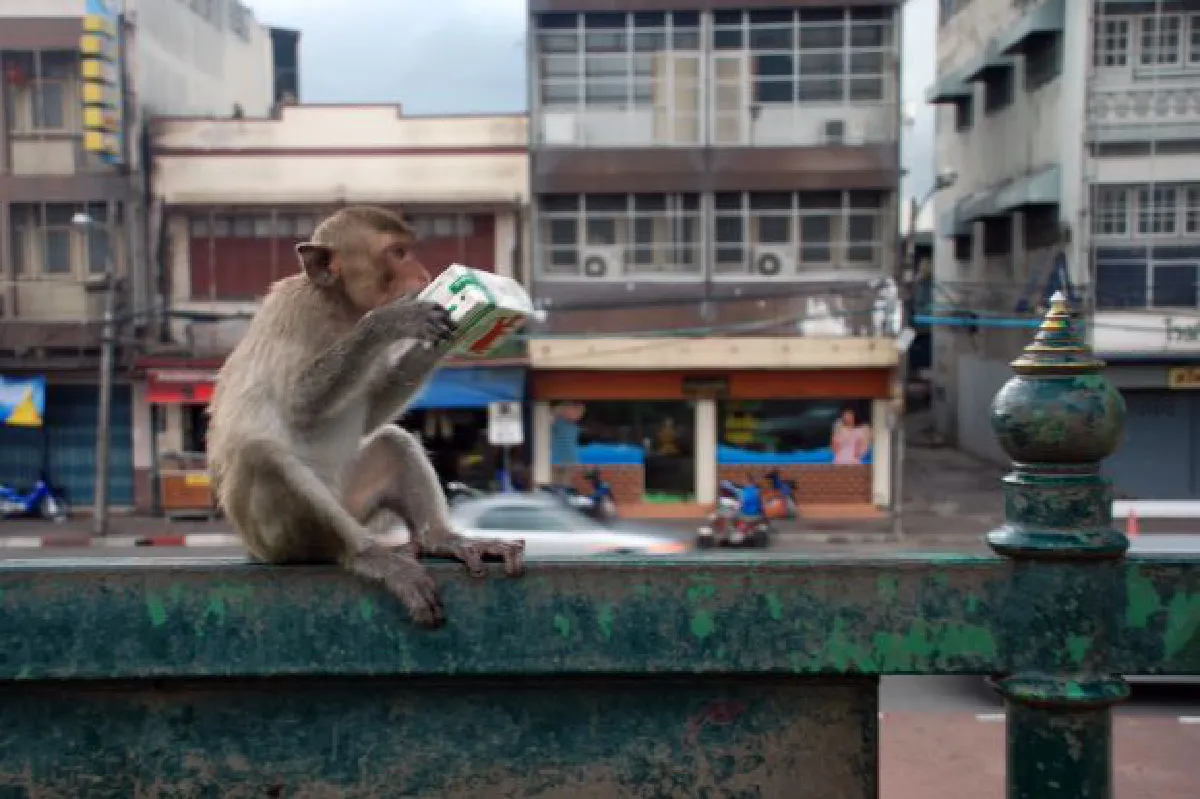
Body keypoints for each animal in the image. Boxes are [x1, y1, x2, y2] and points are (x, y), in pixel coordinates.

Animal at [206, 205, 525, 627]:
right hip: (274, 537)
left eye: (409, 250)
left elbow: (372, 414)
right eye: (398, 253)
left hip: (352, 501)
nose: (424, 274)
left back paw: (443, 539)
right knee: (263, 454)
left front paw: (451, 327)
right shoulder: (297, 311)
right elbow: (298, 402)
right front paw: (392, 320)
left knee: (394, 440)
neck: (338, 305)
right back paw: (370, 555)